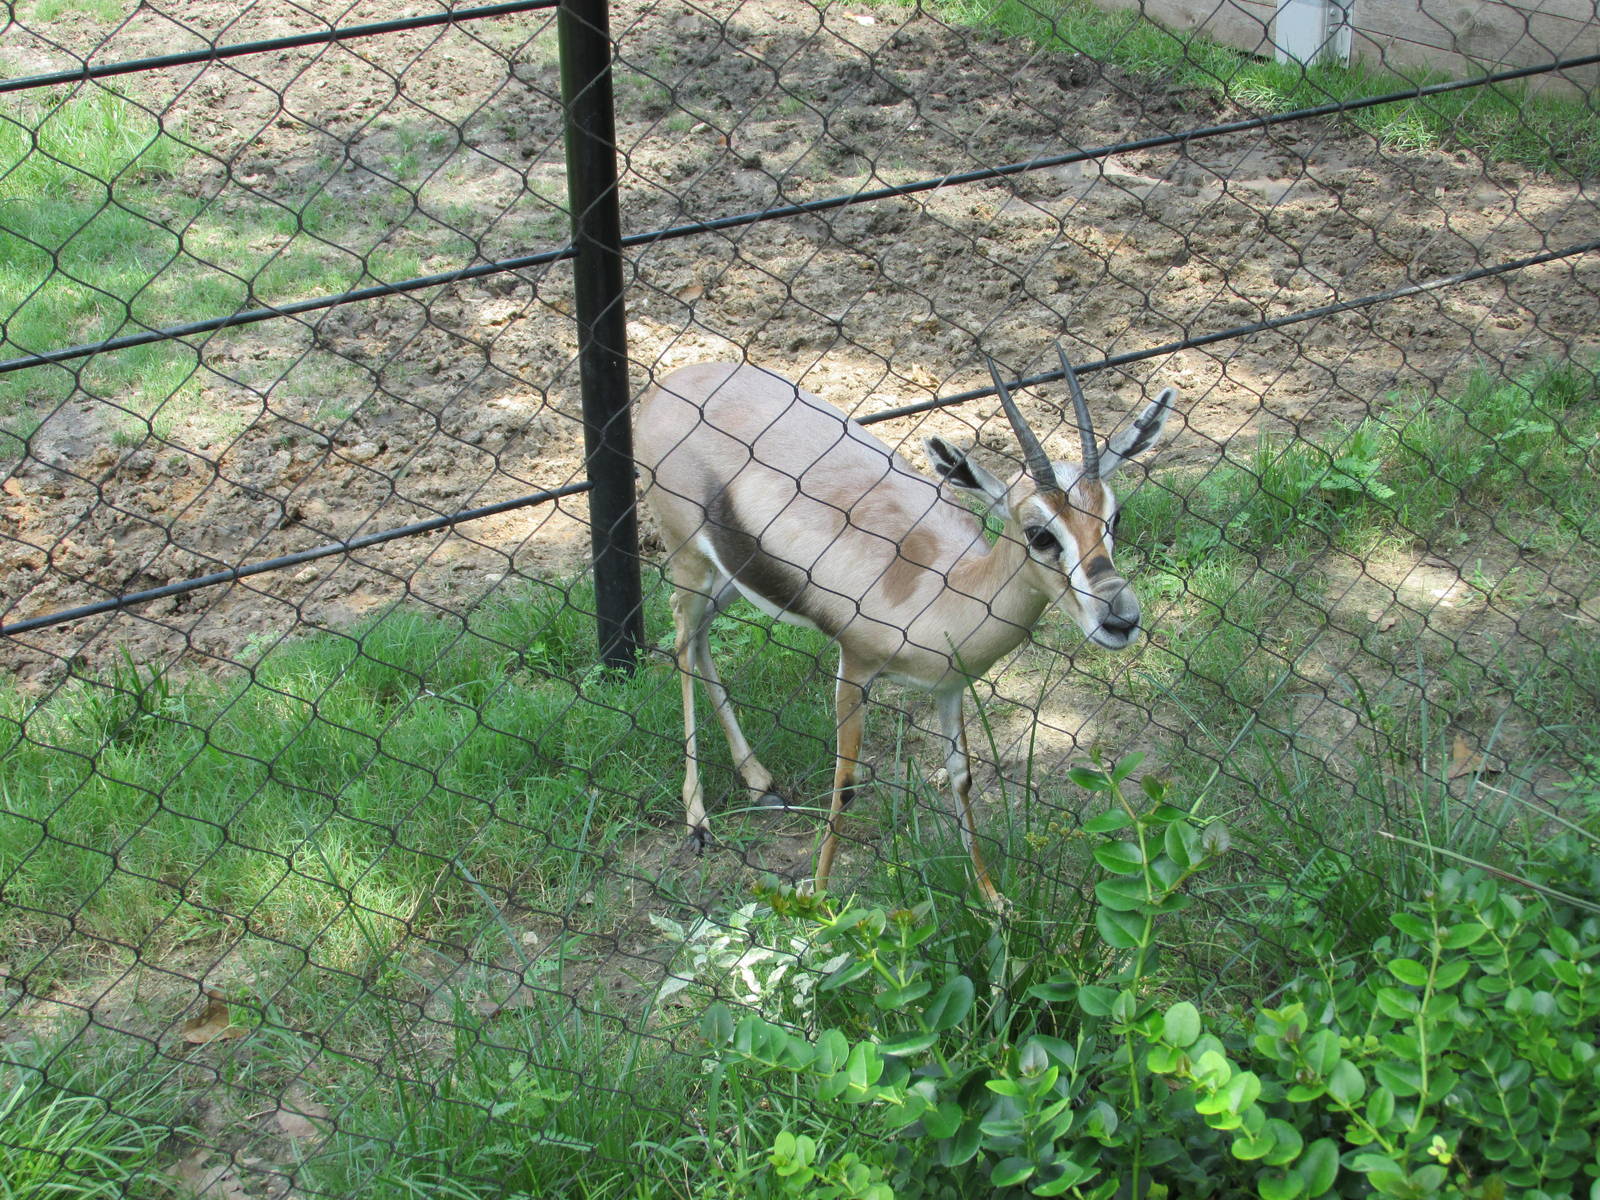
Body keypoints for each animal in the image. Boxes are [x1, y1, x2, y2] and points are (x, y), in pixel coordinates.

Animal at [636, 348, 1174, 904]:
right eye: (1040, 533)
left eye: (1114, 517)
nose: (1120, 618)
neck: (941, 587)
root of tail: (669, 384)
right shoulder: (854, 668)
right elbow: (846, 785)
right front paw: (820, 901)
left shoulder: (951, 687)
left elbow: (961, 776)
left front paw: (992, 899)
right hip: (689, 560)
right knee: (681, 638)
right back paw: (698, 821)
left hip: (729, 577)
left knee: (699, 639)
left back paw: (759, 782)